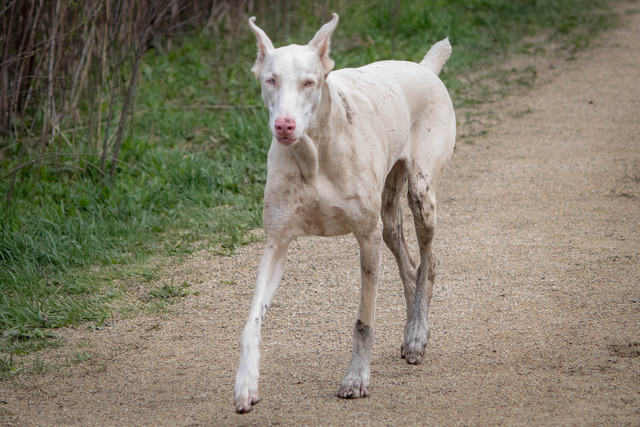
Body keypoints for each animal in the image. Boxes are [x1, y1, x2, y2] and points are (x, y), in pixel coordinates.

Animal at [235, 14, 456, 414]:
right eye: (270, 80)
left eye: (309, 82)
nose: (284, 125)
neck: (315, 153)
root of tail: (423, 67)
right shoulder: (276, 243)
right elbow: (252, 322)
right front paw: (246, 384)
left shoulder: (366, 239)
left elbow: (363, 321)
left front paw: (356, 378)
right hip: (389, 217)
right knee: (410, 265)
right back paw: (411, 330)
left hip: (420, 194)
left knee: (429, 264)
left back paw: (417, 334)